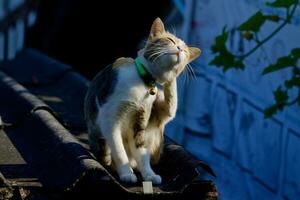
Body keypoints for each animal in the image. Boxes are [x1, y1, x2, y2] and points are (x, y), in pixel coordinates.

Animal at [84, 17, 202, 184]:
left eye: (185, 50)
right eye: (170, 40)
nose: (180, 48)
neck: (143, 81)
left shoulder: (141, 120)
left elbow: (142, 152)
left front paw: (149, 175)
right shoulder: (110, 119)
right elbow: (119, 149)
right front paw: (126, 173)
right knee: (107, 152)